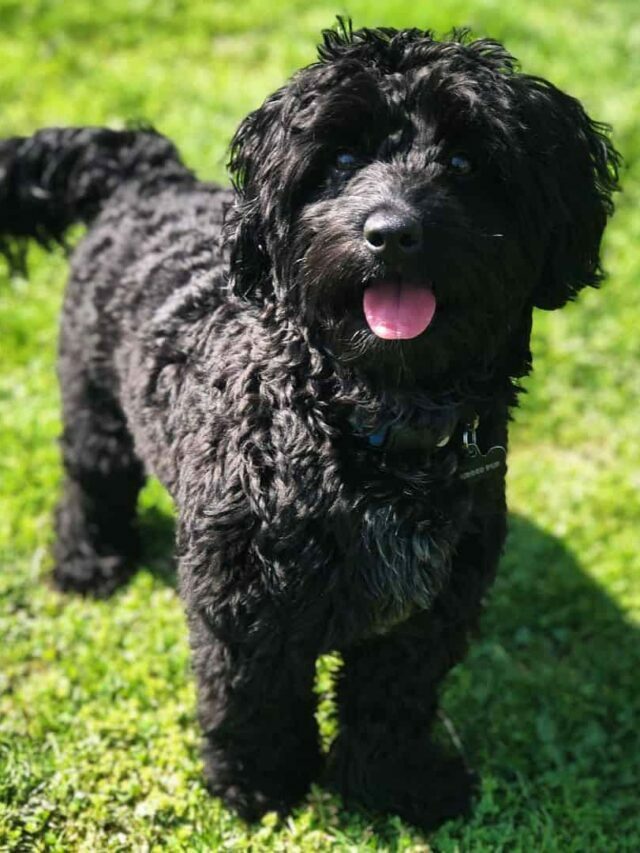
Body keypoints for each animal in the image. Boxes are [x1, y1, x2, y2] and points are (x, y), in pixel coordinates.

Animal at [1, 25, 620, 832]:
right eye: (342, 159)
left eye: (464, 161)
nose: (393, 233)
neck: (362, 431)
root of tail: (147, 172)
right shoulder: (244, 603)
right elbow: (252, 700)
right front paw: (261, 785)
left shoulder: (428, 615)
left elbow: (392, 704)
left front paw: (394, 783)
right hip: (94, 401)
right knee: (90, 481)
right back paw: (88, 564)